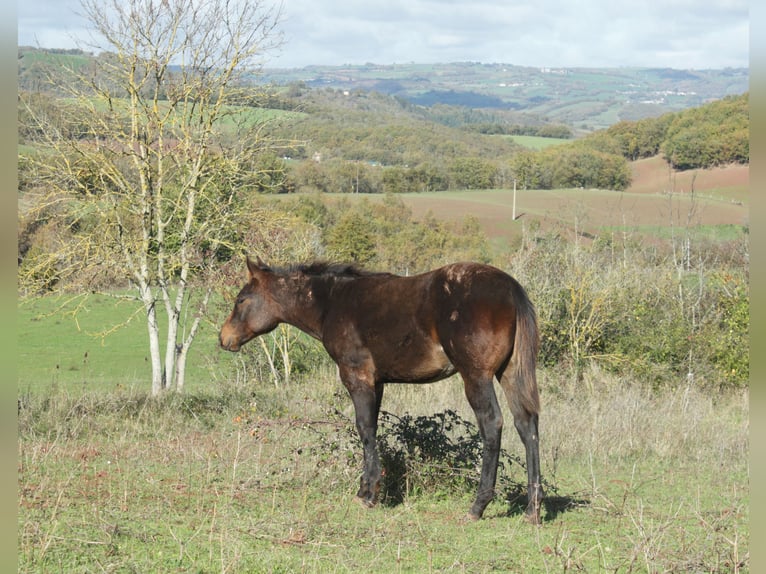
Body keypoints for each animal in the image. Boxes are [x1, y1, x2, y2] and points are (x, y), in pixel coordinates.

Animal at [219, 257, 543, 524]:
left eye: (241, 299)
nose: (224, 338)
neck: (332, 303)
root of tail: (511, 288)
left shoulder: (357, 376)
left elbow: (365, 428)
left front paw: (368, 494)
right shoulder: (377, 382)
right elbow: (372, 427)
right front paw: (369, 488)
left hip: (476, 376)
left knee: (492, 424)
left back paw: (478, 506)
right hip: (510, 373)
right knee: (527, 424)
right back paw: (533, 509)